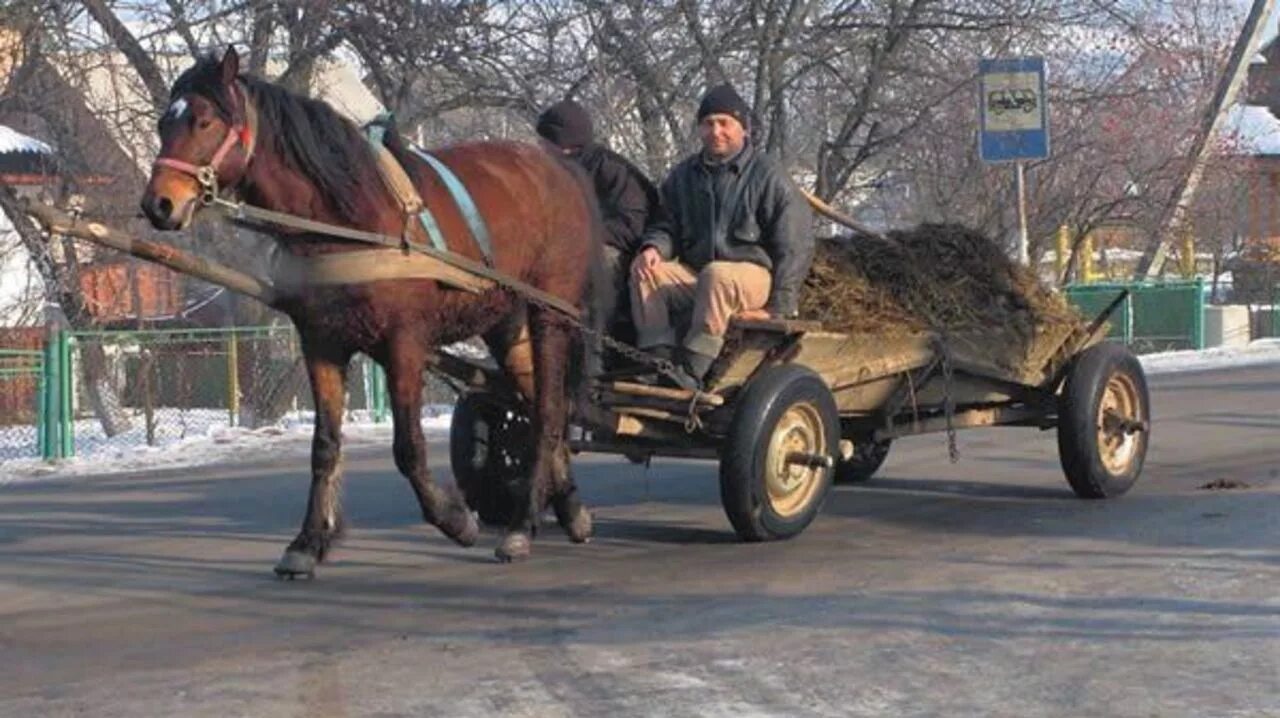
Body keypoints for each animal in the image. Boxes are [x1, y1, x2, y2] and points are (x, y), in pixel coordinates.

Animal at [142, 47, 601, 573]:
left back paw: (522, 526)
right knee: (538, 404)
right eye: (163, 122)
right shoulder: (321, 343)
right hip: (507, 324)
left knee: (547, 413)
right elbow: (325, 446)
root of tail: (559, 170)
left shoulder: (404, 343)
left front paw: (454, 519)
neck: (347, 219)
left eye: (203, 121)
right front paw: (307, 543)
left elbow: (408, 448)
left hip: (550, 315)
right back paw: (570, 508)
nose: (158, 204)